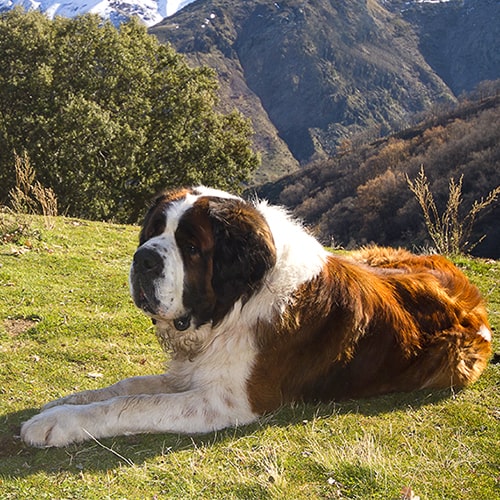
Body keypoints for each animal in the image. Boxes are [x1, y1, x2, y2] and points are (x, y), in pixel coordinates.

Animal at [20, 186, 492, 448]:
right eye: (153, 232)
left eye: (191, 247)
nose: (144, 259)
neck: (237, 303)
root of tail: (475, 304)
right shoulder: (191, 373)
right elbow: (126, 386)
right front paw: (63, 402)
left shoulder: (224, 401)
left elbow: (130, 404)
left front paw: (55, 424)